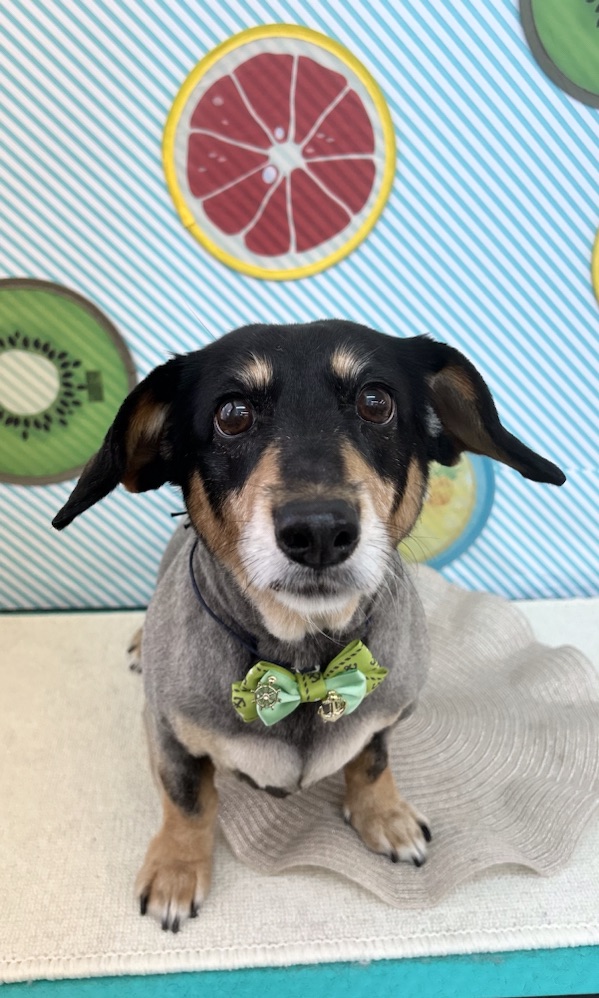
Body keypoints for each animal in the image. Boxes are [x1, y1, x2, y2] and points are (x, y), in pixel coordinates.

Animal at [53, 319, 565, 931]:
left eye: (375, 402)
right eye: (232, 413)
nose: (319, 530)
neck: (302, 660)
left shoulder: (386, 716)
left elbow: (371, 763)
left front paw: (384, 817)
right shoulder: (169, 734)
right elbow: (188, 803)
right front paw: (176, 870)